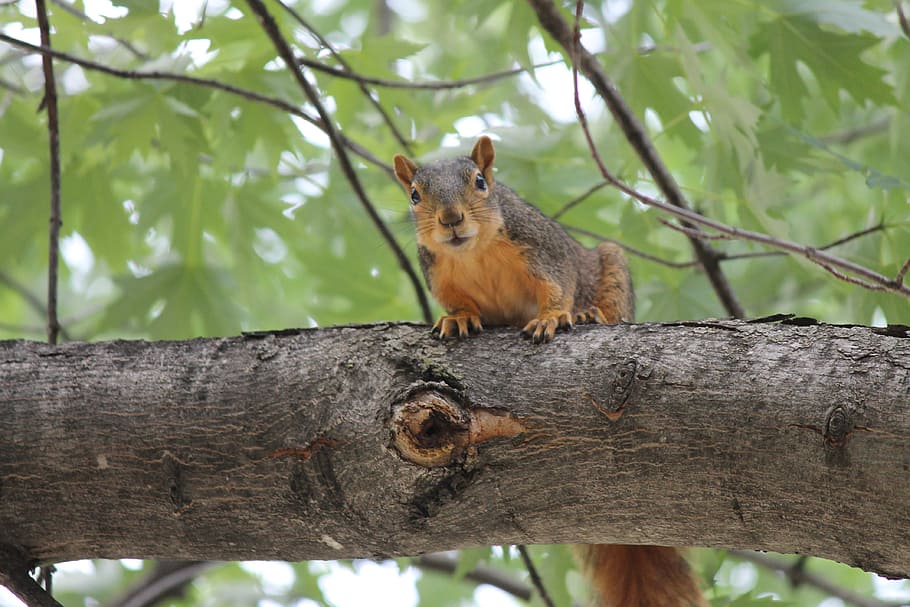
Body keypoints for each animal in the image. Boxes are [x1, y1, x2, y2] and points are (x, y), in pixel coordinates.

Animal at [393, 136, 704, 607]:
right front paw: (457, 320)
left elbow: (557, 287)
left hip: (610, 265)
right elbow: (458, 304)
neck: (473, 253)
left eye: (480, 182)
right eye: (414, 195)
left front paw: (552, 317)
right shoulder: (439, 275)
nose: (450, 219)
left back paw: (592, 314)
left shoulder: (541, 249)